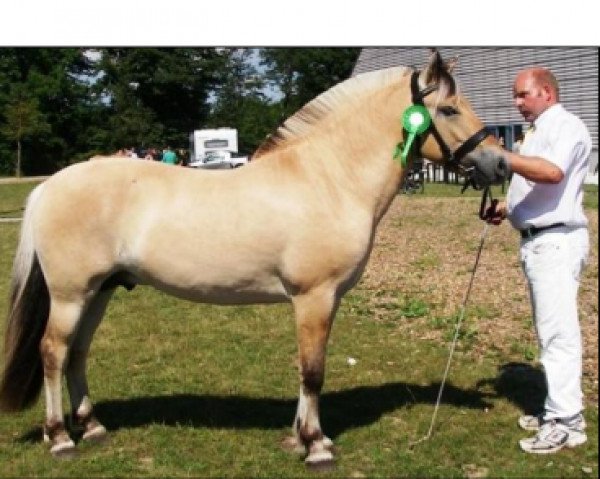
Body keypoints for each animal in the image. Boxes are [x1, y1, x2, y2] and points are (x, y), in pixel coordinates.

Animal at [0, 50, 502, 466]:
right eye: (450, 109)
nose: (498, 164)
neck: (329, 179)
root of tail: (50, 185)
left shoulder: (322, 300)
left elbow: (305, 369)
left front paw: (301, 437)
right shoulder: (314, 296)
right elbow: (313, 371)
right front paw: (316, 446)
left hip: (100, 291)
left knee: (78, 352)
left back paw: (92, 427)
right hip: (70, 294)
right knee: (53, 351)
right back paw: (60, 437)